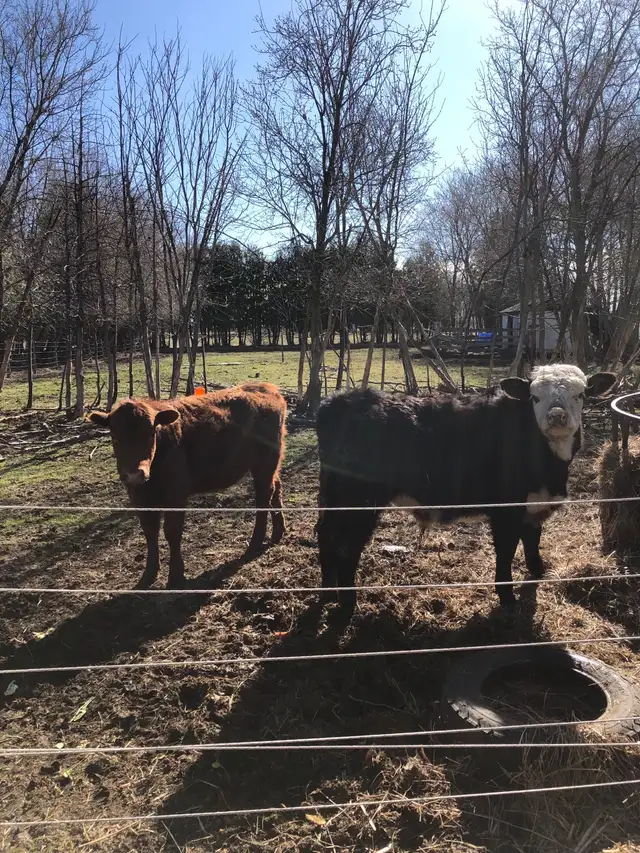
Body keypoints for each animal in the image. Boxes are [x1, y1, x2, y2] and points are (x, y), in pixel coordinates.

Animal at [88, 382, 287, 589]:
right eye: (114, 436)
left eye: (151, 434)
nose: (135, 474)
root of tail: (267, 387)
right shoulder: (139, 497)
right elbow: (150, 531)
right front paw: (149, 574)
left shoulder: (176, 494)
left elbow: (172, 531)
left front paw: (176, 576)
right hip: (271, 465)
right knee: (276, 488)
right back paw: (278, 532)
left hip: (265, 463)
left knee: (264, 496)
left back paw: (255, 543)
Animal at [315, 365, 616, 611]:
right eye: (535, 397)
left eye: (581, 394)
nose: (556, 416)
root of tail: (341, 401)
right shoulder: (505, 510)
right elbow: (506, 550)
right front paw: (507, 598)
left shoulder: (534, 505)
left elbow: (532, 540)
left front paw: (537, 571)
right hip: (358, 501)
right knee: (348, 543)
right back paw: (347, 601)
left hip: (335, 496)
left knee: (326, 534)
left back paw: (328, 591)